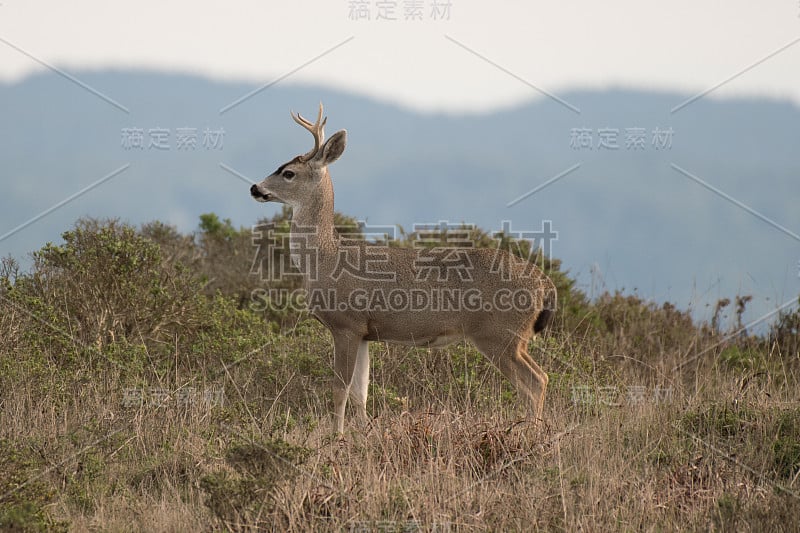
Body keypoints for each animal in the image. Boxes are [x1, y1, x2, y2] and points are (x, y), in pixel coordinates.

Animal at [250, 104, 556, 432]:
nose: (255, 188)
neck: (325, 259)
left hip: (499, 334)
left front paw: (337, 436)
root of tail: (545, 285)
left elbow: (339, 389)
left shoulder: (346, 323)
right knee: (540, 378)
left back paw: (531, 433)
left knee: (535, 381)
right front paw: (362, 434)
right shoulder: (364, 331)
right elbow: (361, 392)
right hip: (513, 338)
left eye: (288, 172)